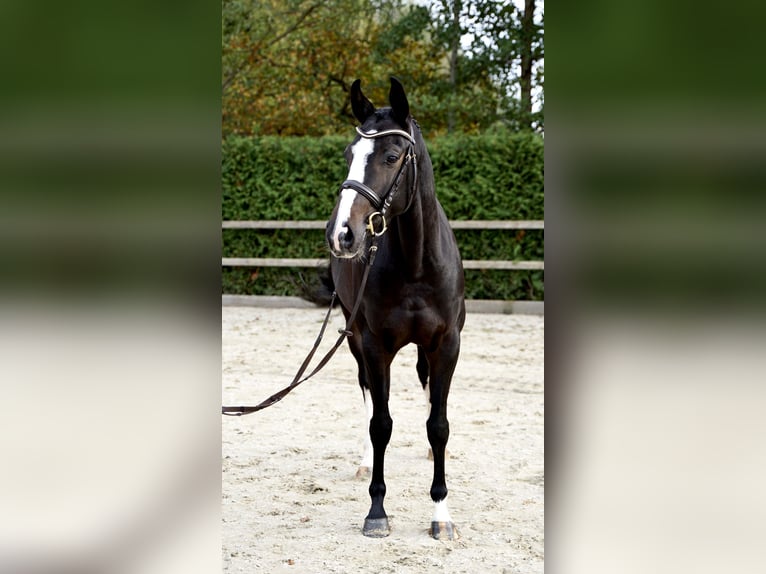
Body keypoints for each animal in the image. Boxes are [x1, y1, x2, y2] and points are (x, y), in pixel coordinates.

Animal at [324, 77, 466, 540]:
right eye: (349, 154)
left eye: (390, 156)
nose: (342, 234)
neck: (416, 261)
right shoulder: (373, 345)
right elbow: (381, 424)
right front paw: (376, 511)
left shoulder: (446, 344)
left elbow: (438, 424)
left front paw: (441, 514)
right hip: (353, 340)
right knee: (367, 394)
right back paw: (363, 460)